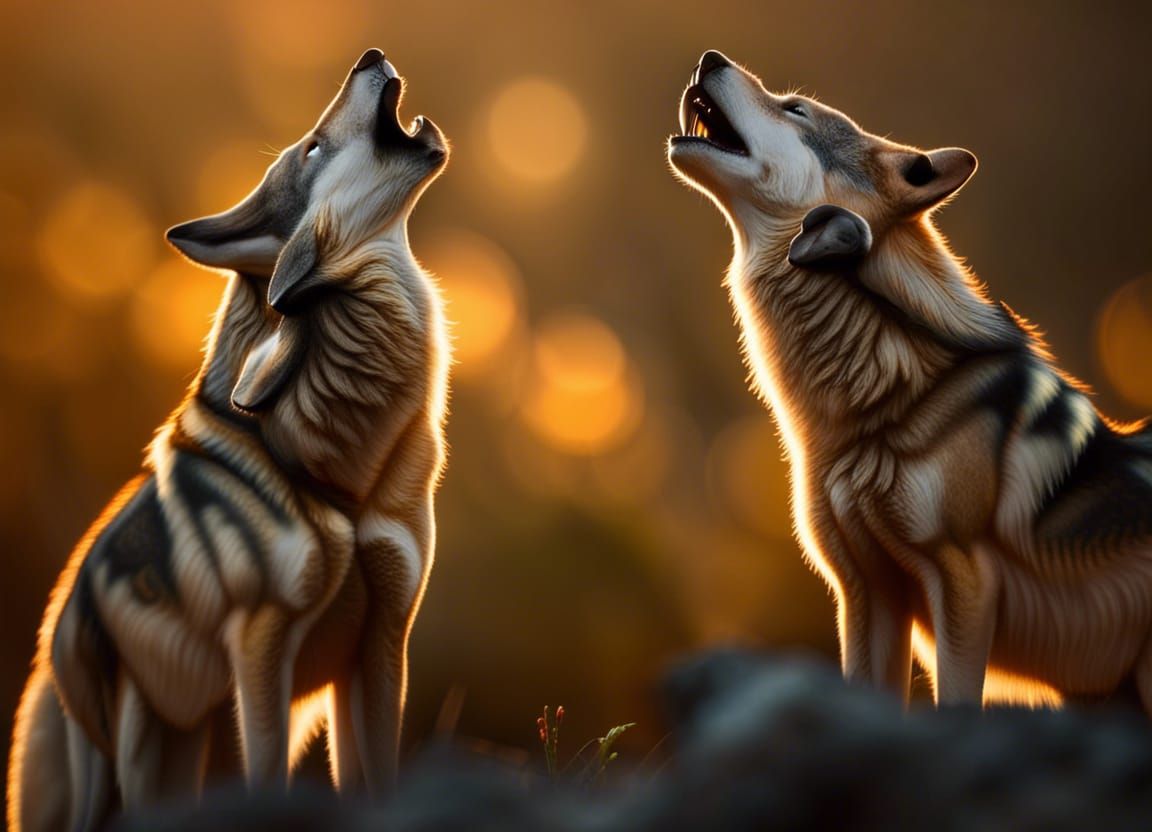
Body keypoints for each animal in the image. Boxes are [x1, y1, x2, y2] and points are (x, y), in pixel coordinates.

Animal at [7, 48, 446, 831]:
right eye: (312, 148)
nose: (368, 55)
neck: (344, 476)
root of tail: (53, 633)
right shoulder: (261, 645)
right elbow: (267, 771)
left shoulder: (382, 641)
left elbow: (375, 775)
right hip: (140, 751)